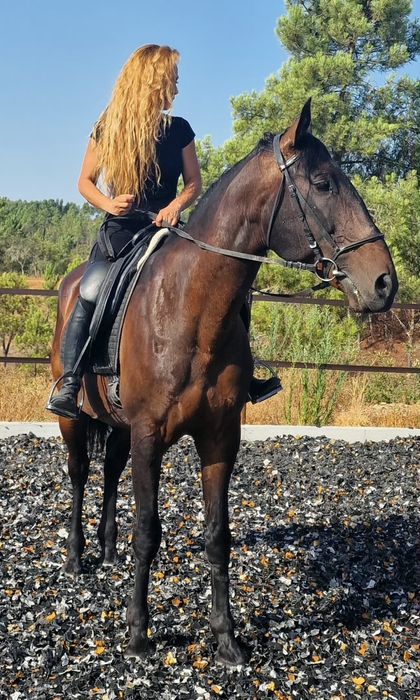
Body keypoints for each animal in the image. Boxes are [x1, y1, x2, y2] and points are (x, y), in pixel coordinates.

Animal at [50, 100, 398, 666]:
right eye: (323, 183)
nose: (385, 284)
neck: (191, 306)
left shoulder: (218, 438)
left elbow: (217, 537)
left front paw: (226, 638)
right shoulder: (150, 435)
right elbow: (148, 532)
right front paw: (139, 632)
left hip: (119, 425)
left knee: (108, 473)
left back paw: (107, 547)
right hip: (74, 419)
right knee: (80, 474)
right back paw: (79, 556)